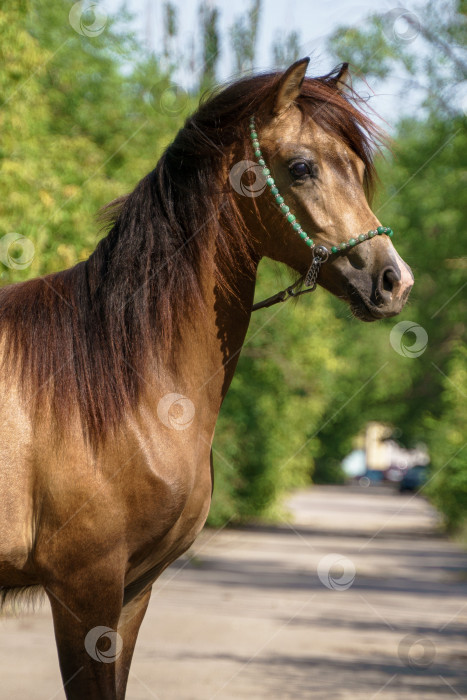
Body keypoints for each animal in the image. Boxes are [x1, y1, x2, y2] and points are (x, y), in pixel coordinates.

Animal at [0, 57, 414, 696]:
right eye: (302, 167)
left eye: (355, 167)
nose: (394, 281)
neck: (120, 382)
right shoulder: (84, 589)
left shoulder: (133, 591)